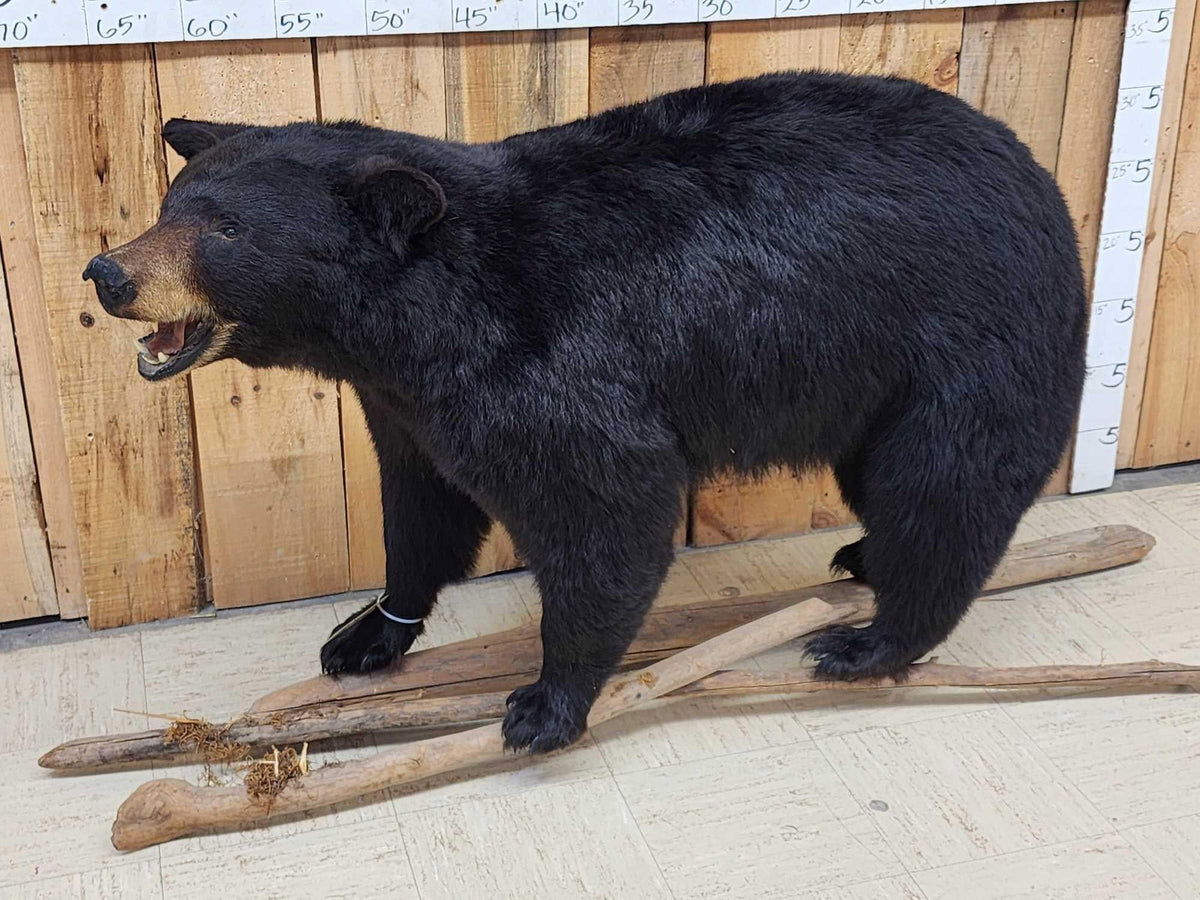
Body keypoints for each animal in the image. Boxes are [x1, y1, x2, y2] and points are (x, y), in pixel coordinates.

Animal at [84, 71, 1087, 754]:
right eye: (170, 204)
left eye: (225, 231)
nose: (108, 273)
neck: (425, 319)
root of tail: (1046, 185)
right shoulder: (406, 404)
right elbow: (422, 507)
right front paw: (369, 633)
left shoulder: (552, 363)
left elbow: (609, 508)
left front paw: (546, 703)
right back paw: (864, 557)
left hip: (966, 345)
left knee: (945, 487)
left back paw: (871, 639)